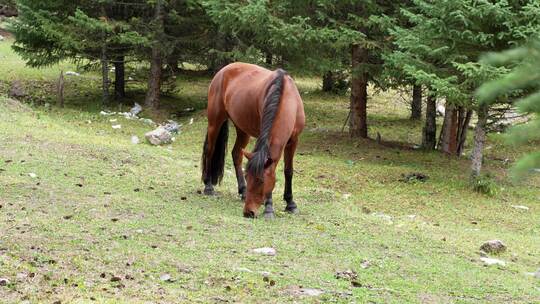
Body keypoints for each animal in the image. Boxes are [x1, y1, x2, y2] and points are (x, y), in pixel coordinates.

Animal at [201, 62, 304, 218]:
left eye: (261, 181)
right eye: (248, 177)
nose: (248, 212)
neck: (287, 99)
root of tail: (223, 70)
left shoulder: (293, 141)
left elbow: (288, 171)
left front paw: (290, 204)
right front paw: (269, 207)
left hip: (242, 129)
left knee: (236, 154)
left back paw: (242, 191)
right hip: (215, 121)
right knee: (210, 150)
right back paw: (208, 186)